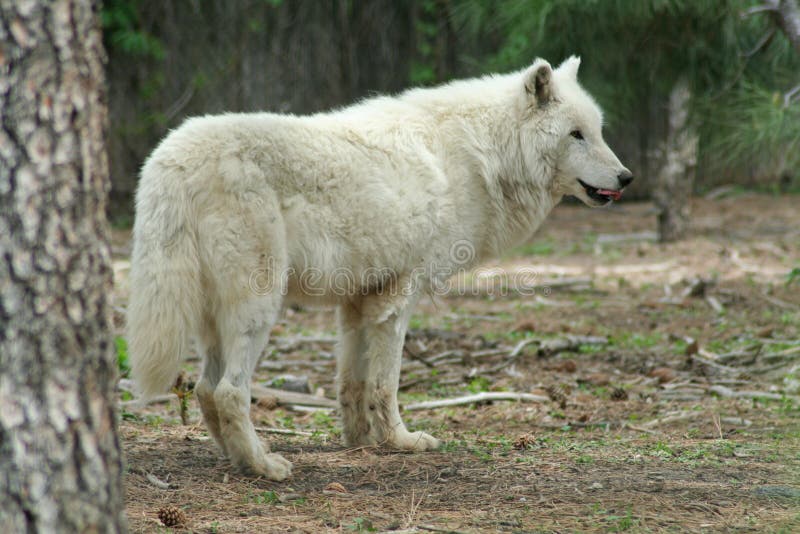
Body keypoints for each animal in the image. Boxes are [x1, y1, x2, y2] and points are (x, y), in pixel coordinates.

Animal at [128, 57, 636, 482]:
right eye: (575, 135)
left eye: (598, 131)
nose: (627, 177)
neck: (483, 157)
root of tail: (169, 159)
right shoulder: (399, 297)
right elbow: (386, 384)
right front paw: (400, 441)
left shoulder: (357, 302)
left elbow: (352, 383)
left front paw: (359, 441)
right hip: (258, 309)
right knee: (230, 393)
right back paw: (265, 466)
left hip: (216, 319)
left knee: (204, 390)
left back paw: (236, 459)